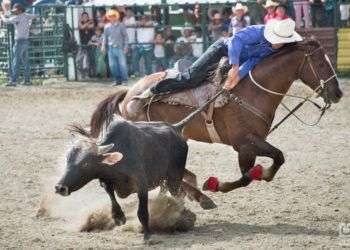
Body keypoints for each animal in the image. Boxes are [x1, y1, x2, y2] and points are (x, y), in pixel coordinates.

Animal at [87, 38, 342, 195]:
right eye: (321, 62)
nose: (338, 93)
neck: (252, 91)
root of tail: (130, 93)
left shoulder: (250, 146)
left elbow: (266, 165)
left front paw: (263, 174)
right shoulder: (245, 144)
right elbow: (256, 171)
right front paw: (215, 185)